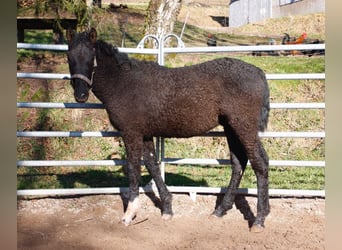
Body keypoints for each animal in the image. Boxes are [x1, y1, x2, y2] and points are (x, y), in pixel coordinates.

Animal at [66, 28, 270, 231]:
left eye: (91, 56)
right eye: (69, 57)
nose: (80, 95)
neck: (122, 82)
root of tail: (259, 73)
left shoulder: (131, 133)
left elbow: (133, 168)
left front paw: (129, 214)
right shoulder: (145, 134)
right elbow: (152, 165)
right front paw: (167, 209)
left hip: (244, 127)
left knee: (259, 163)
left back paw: (259, 220)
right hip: (231, 128)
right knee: (239, 163)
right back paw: (221, 211)